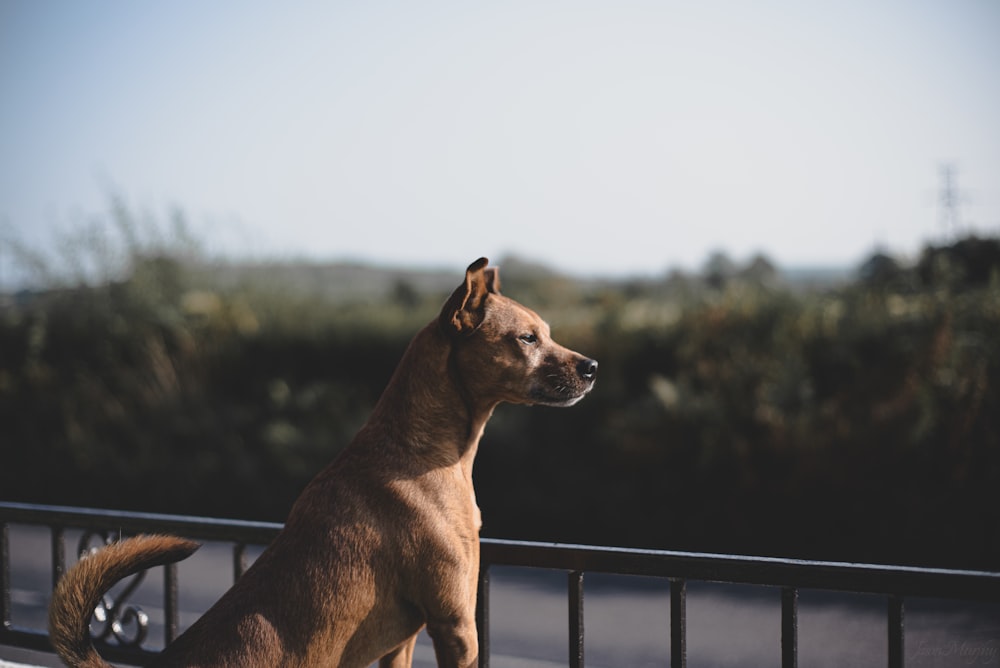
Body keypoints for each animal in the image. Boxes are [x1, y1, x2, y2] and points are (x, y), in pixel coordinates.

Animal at [48, 258, 592, 668]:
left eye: (546, 333)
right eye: (527, 339)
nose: (593, 367)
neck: (424, 451)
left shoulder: (405, 639)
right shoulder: (455, 623)